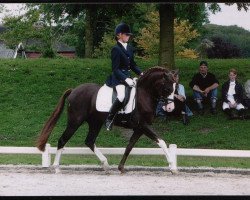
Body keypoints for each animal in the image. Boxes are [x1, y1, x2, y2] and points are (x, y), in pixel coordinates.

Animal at [36, 67, 178, 173]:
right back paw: (56, 167)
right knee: (63, 140)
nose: (170, 108)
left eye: (175, 88)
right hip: (75, 122)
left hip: (95, 123)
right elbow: (161, 142)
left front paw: (121, 167)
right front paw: (172, 166)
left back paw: (105, 164)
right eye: (168, 88)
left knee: (89, 141)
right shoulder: (143, 125)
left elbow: (129, 146)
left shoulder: (139, 128)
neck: (144, 95)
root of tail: (73, 90)